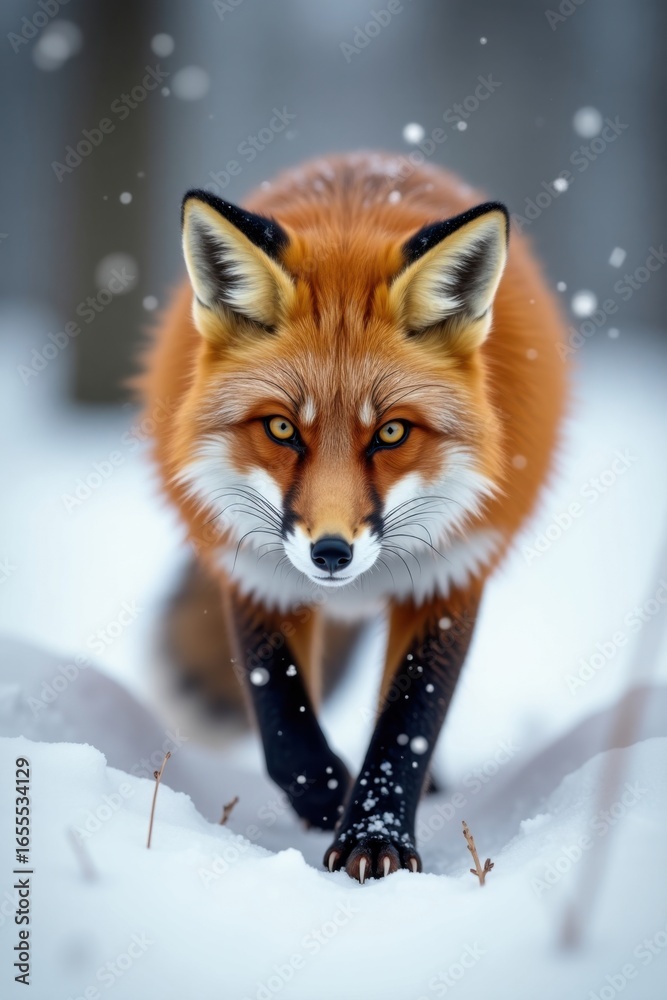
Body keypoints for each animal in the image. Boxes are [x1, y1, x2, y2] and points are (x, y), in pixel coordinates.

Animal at [141, 152, 568, 882]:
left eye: (391, 432)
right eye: (283, 428)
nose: (331, 554)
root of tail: (367, 159)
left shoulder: (449, 578)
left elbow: (407, 725)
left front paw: (376, 836)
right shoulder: (257, 572)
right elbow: (283, 723)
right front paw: (326, 798)